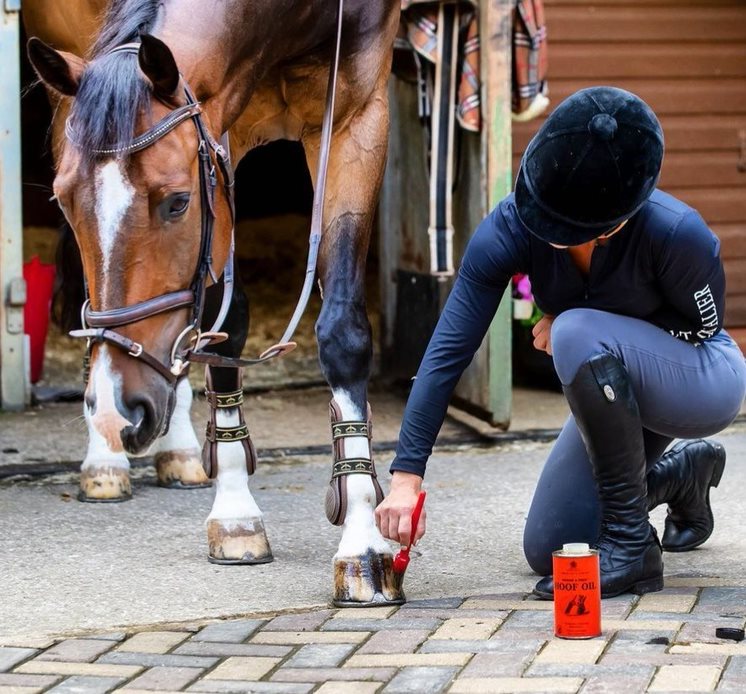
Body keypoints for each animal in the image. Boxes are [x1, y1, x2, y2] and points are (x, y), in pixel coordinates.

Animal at [27, 0, 403, 606]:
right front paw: (235, 514)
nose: (120, 410)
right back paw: (107, 455)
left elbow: (342, 331)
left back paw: (170, 444)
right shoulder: (223, 127)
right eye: (62, 201)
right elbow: (227, 319)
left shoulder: (357, 113)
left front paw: (363, 544)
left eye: (178, 202)